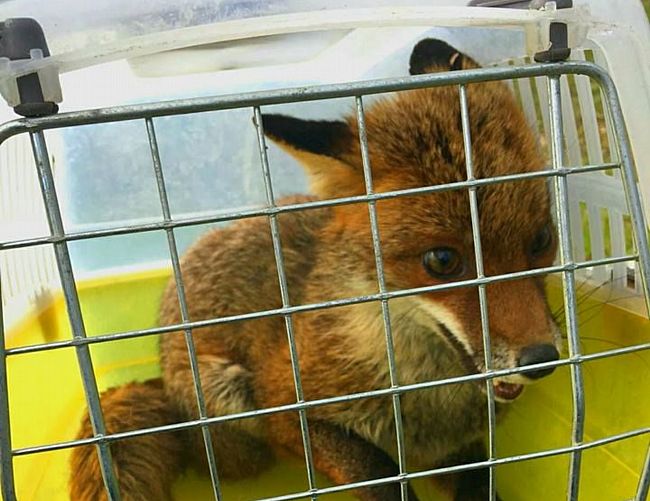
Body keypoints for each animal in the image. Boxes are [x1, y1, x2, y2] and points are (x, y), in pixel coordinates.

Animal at [69, 39, 561, 501]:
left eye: (541, 240)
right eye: (441, 260)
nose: (542, 360)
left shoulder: (459, 446)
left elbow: (479, 483)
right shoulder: (287, 412)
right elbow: (376, 467)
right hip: (234, 410)